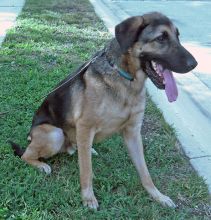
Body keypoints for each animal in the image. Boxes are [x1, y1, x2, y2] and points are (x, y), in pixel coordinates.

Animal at [9, 12, 198, 210]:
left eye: (178, 36)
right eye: (161, 38)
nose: (194, 64)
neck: (127, 80)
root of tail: (30, 136)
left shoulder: (133, 132)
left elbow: (145, 172)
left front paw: (158, 196)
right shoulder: (85, 127)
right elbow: (86, 170)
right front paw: (88, 198)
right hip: (54, 134)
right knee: (26, 155)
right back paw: (41, 165)